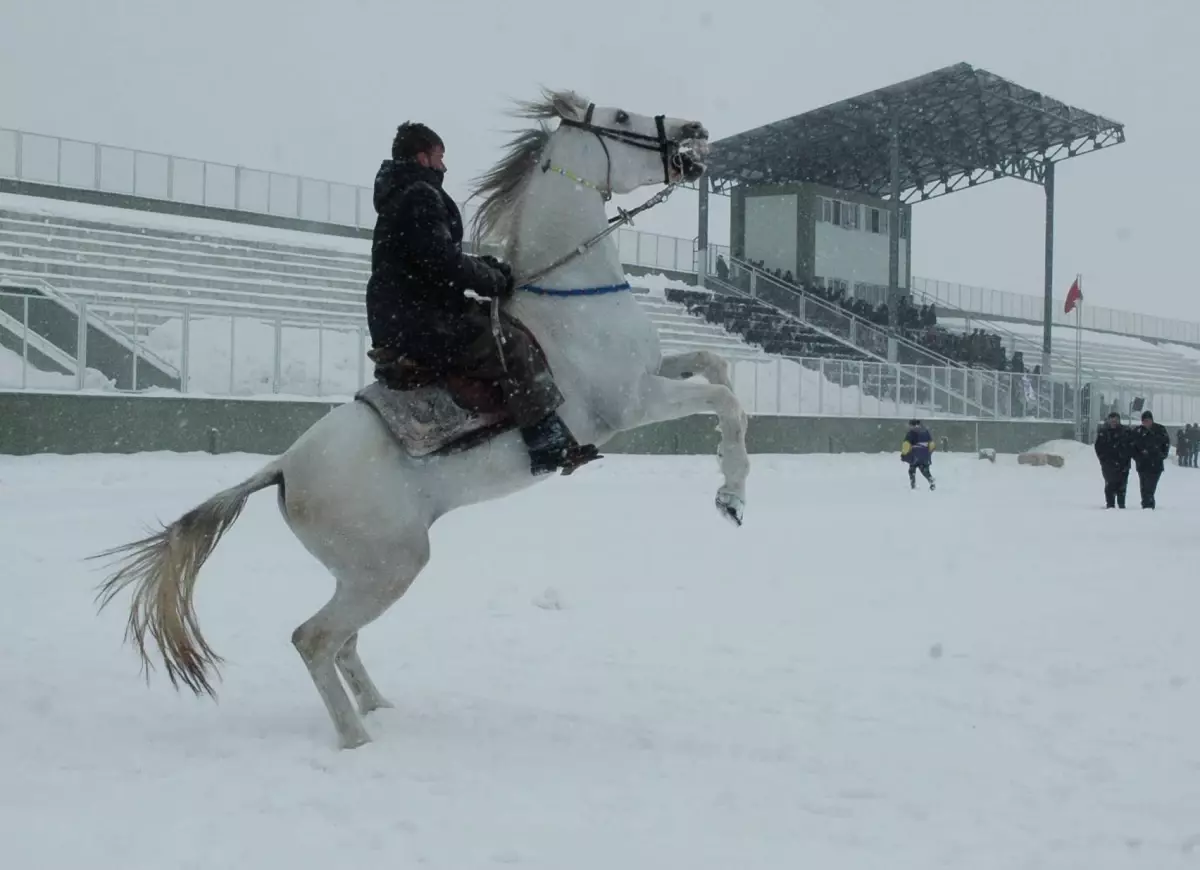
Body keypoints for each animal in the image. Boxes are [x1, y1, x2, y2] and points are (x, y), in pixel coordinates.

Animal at [96, 91, 748, 748]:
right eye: (616, 118)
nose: (695, 134)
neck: (569, 300)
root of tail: (283, 467)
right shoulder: (633, 401)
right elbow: (727, 403)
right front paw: (732, 498)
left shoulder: (654, 371)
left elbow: (715, 366)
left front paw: (729, 481)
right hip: (389, 567)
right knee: (315, 639)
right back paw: (357, 739)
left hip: (363, 573)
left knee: (343, 642)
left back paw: (379, 708)